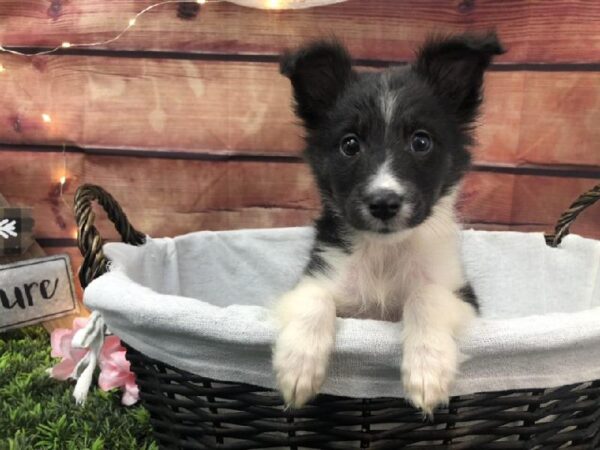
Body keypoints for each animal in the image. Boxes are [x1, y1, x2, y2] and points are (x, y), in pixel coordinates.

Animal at [274, 33, 504, 416]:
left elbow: (426, 295)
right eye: (350, 144)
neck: (384, 253)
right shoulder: (317, 275)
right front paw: (298, 366)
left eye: (421, 141)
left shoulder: (464, 298)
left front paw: (427, 369)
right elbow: (314, 296)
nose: (383, 203)